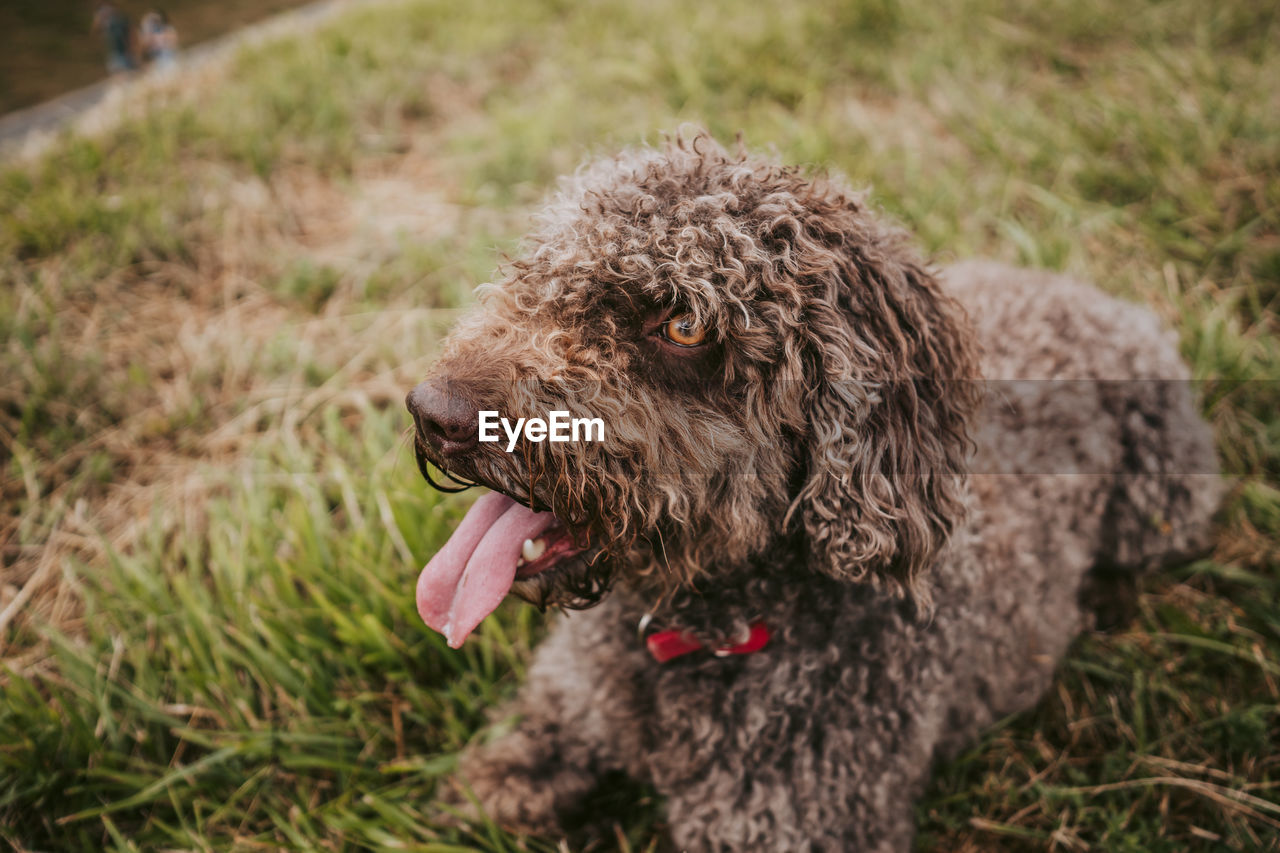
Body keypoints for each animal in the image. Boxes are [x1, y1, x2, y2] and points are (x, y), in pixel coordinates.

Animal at [407, 133, 1218, 845]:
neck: (704, 627)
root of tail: (1086, 292)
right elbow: (510, 764)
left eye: (684, 323)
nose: (434, 412)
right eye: (541, 274)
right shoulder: (567, 702)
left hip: (1165, 501)